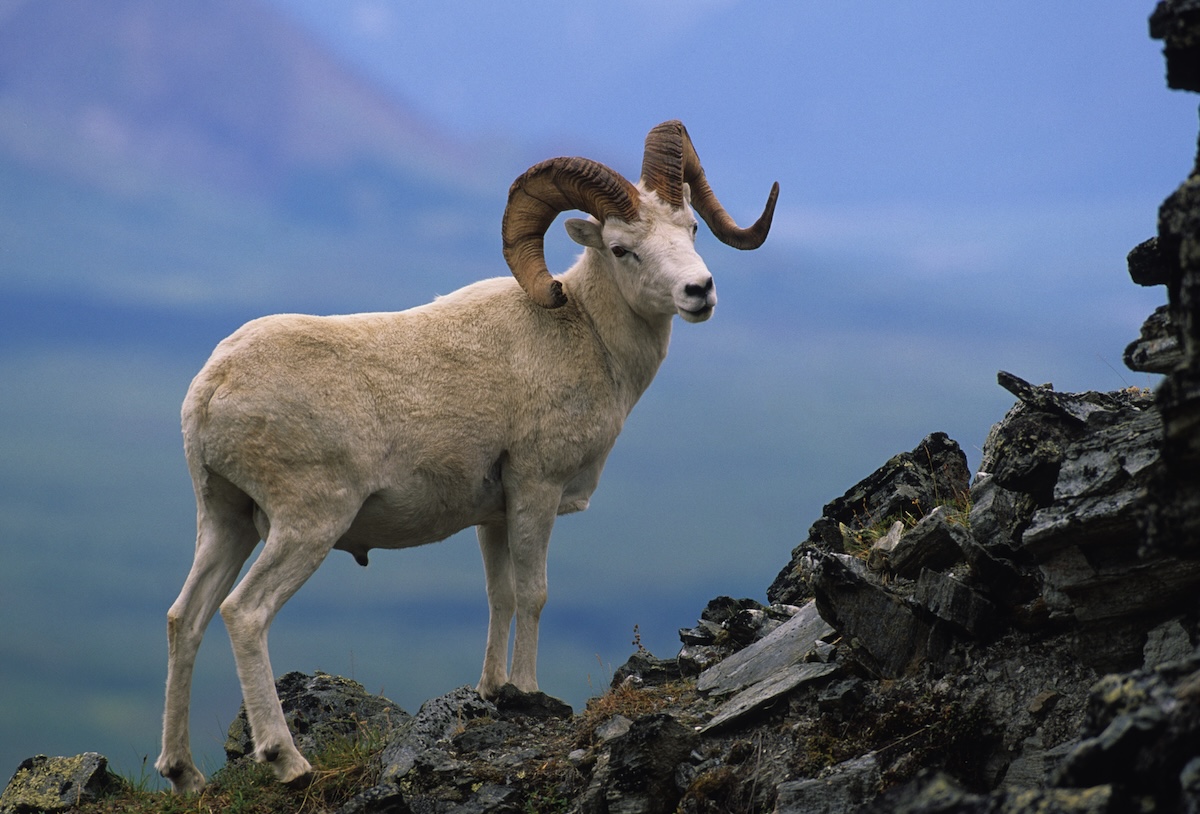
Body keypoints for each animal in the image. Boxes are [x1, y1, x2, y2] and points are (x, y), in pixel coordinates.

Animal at [154, 120, 778, 793]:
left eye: (690, 229)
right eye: (621, 249)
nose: (699, 291)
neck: (585, 335)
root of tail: (211, 388)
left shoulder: (493, 515)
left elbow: (499, 596)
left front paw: (493, 690)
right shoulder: (536, 491)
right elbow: (533, 593)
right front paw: (528, 692)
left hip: (227, 521)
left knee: (185, 618)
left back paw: (184, 774)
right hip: (306, 525)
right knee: (244, 613)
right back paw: (288, 762)